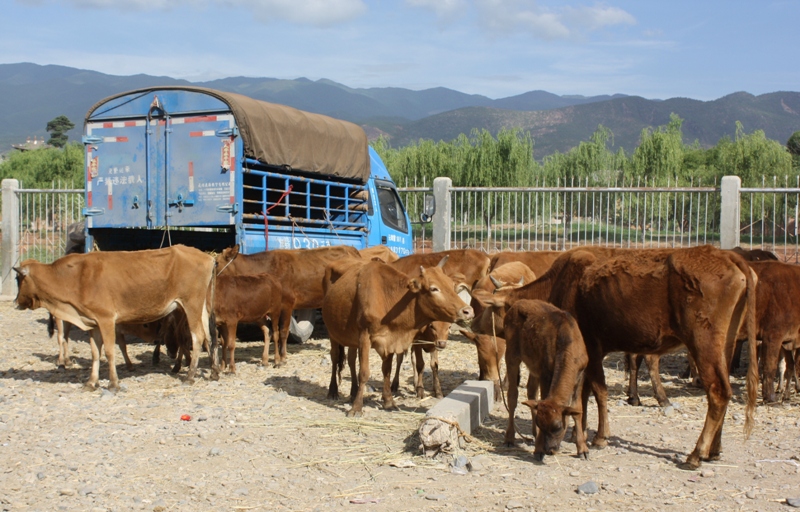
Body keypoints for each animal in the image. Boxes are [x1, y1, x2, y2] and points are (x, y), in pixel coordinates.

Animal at [14, 246, 217, 390]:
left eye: (18, 279)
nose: (16, 301)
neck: (75, 277)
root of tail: (208, 257)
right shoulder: (93, 323)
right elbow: (95, 353)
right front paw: (91, 382)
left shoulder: (106, 319)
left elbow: (110, 351)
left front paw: (113, 383)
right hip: (200, 307)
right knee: (208, 336)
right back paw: (214, 372)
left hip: (190, 304)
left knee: (197, 337)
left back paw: (190, 376)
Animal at [322, 260, 472, 416]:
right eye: (434, 288)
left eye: (450, 284)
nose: (468, 311)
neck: (388, 298)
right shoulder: (364, 336)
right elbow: (363, 372)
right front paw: (357, 408)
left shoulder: (390, 340)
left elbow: (386, 370)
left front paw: (388, 402)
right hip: (332, 333)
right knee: (334, 357)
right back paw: (333, 391)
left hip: (352, 339)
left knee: (351, 360)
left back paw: (353, 392)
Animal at [500, 300, 588, 460]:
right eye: (541, 424)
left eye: (558, 427)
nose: (549, 449)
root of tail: (516, 304)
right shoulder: (545, 374)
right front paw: (538, 449)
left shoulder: (581, 375)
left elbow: (577, 410)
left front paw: (583, 449)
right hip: (511, 355)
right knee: (512, 396)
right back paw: (509, 438)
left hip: (533, 366)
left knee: (531, 391)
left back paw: (533, 436)